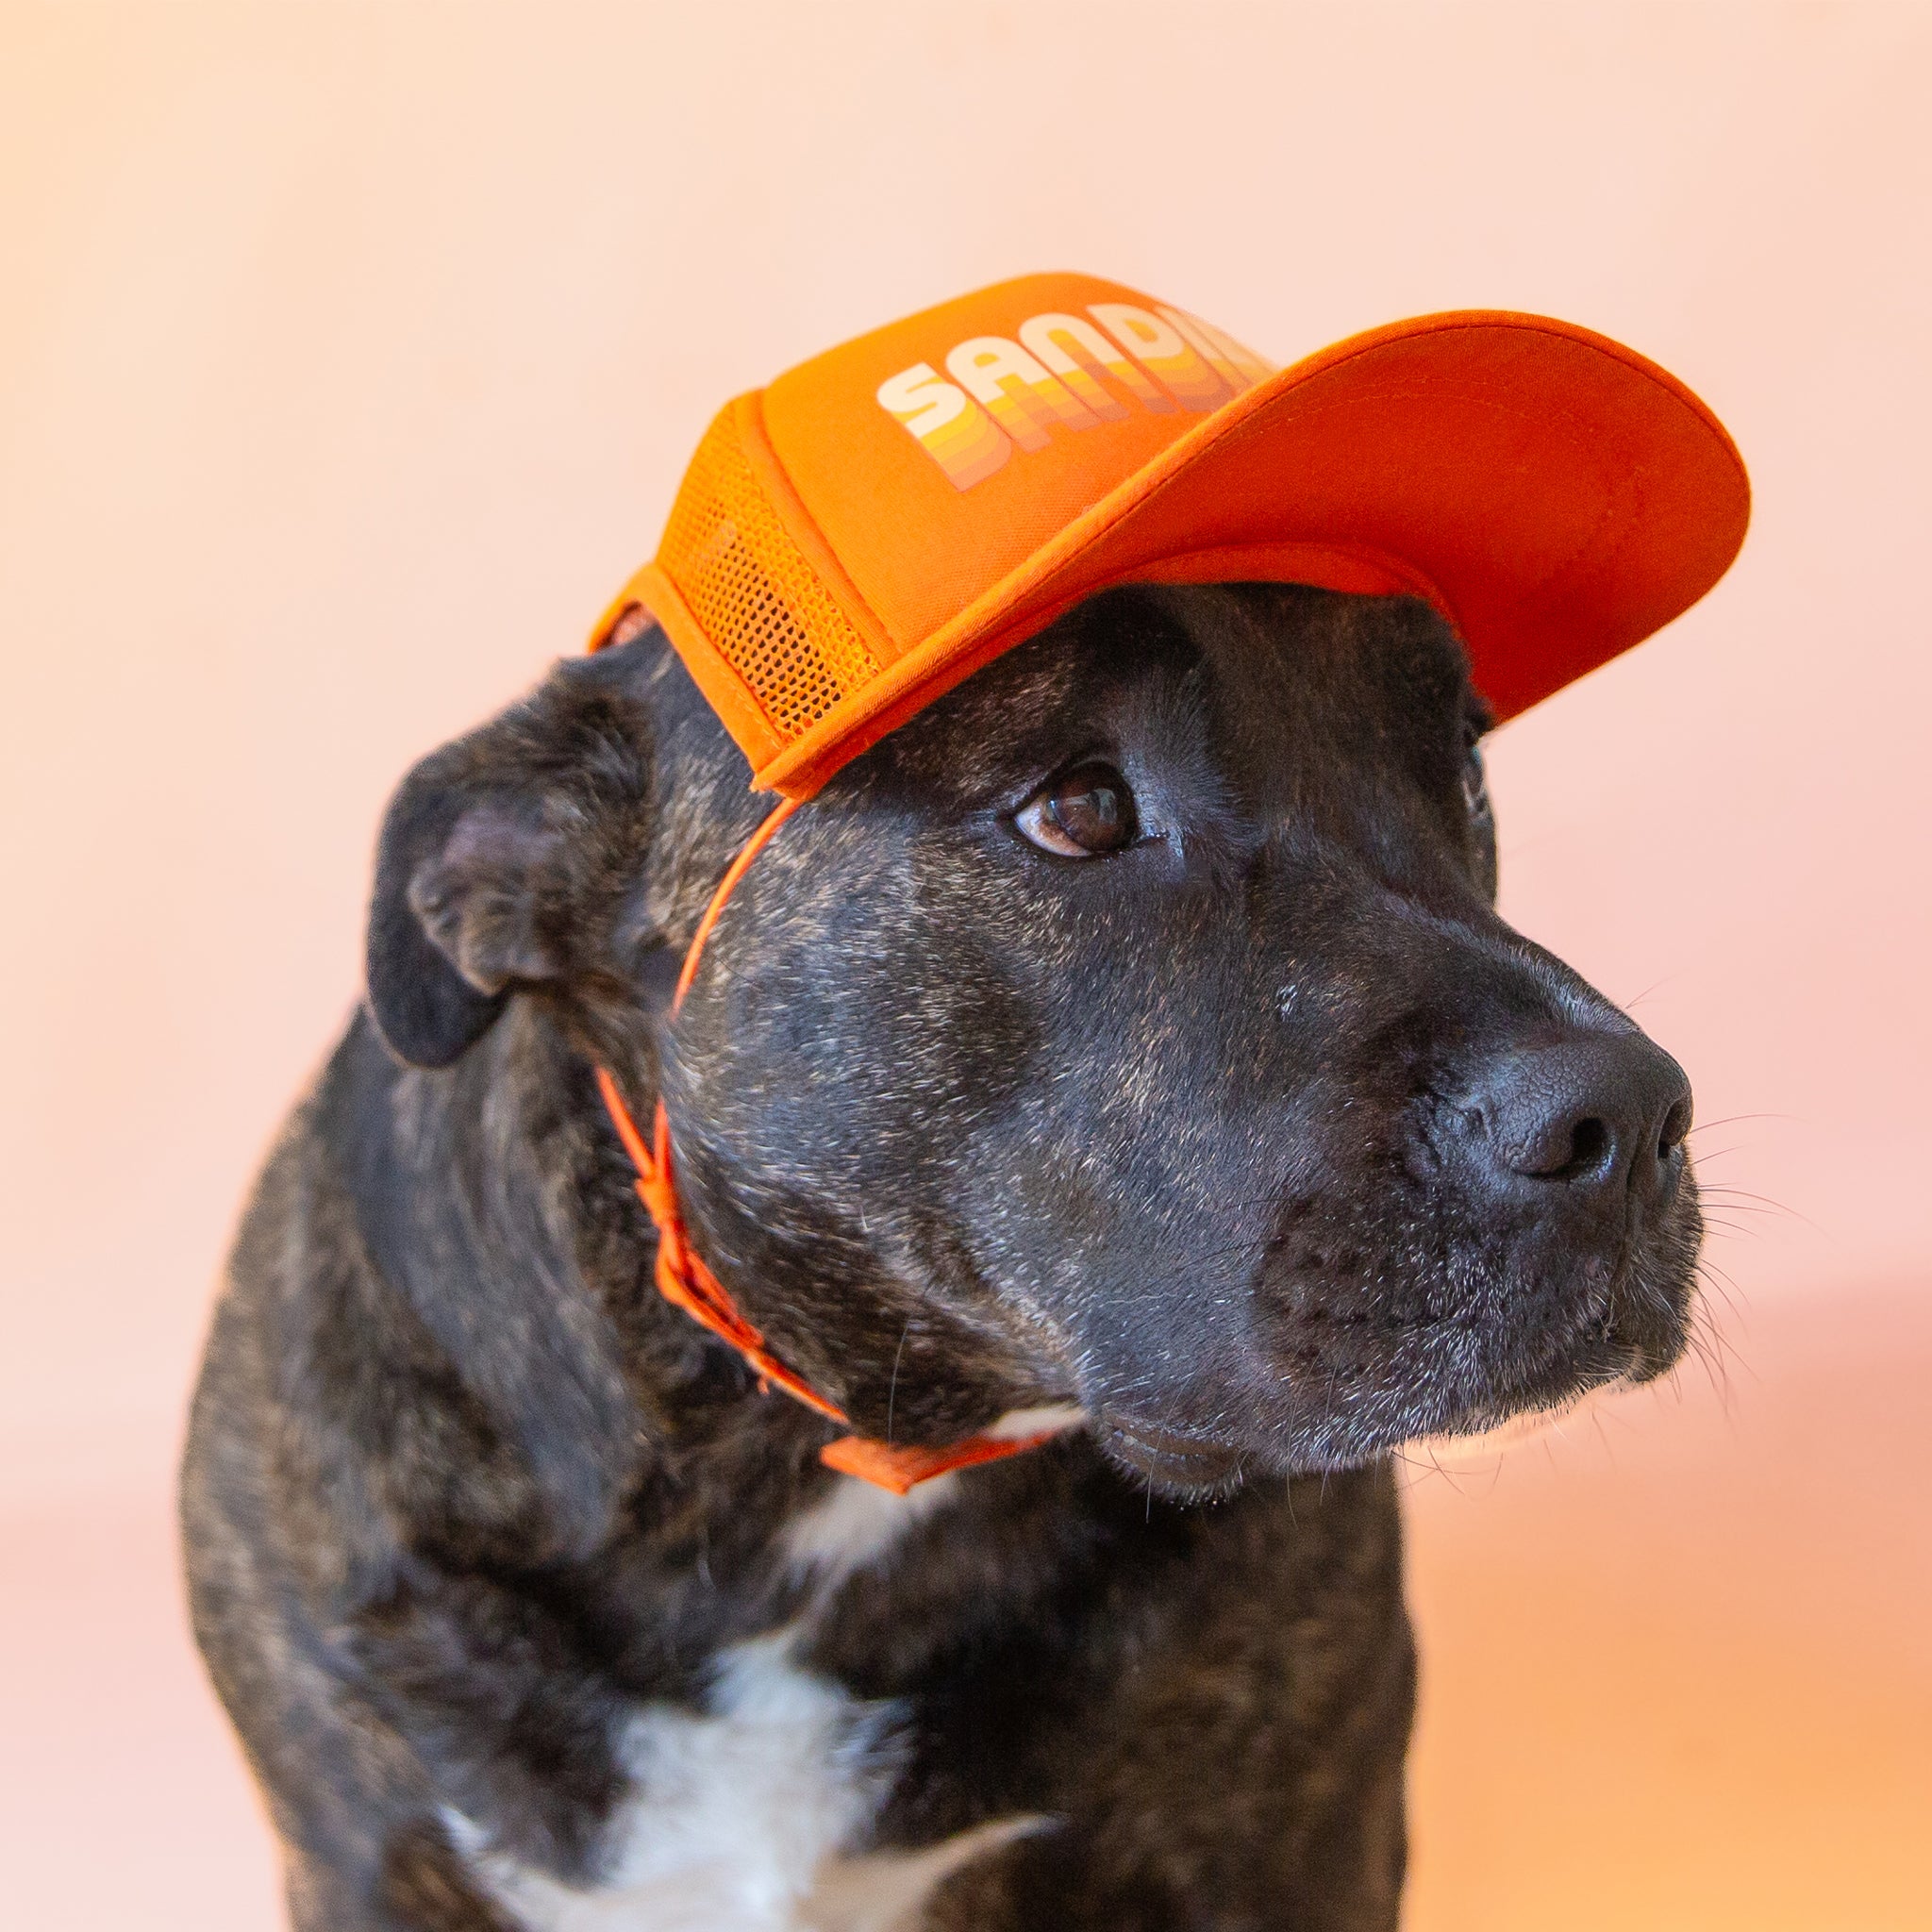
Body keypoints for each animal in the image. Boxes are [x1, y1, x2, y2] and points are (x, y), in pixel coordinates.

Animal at [177, 579, 1692, 1924]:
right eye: (1078, 809)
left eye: (1463, 768)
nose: (1625, 1114)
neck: (825, 1470)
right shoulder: (372, 1849)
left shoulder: (1293, 1839)